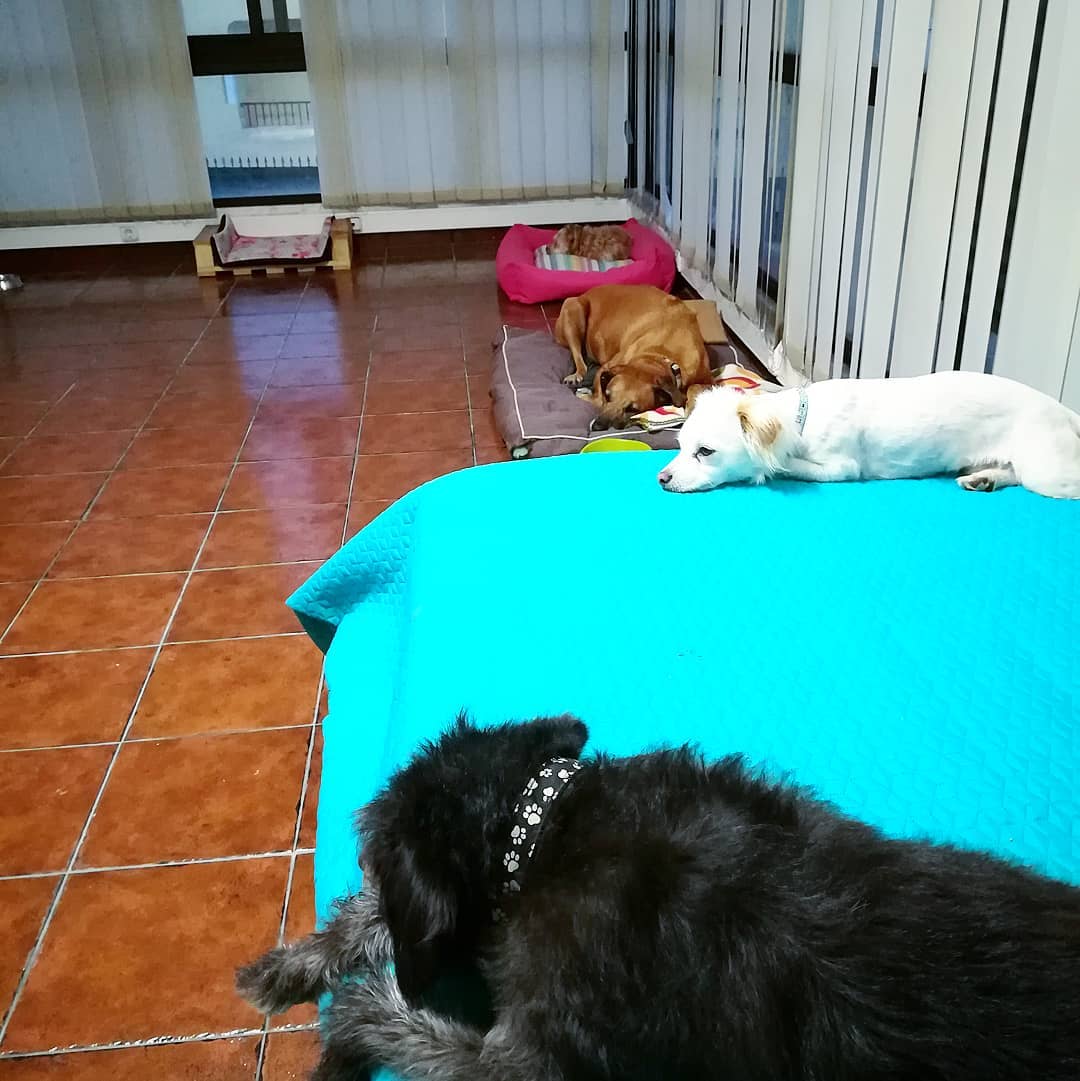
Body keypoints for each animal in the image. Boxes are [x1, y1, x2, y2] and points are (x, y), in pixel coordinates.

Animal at [553, 284, 713, 429]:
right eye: (608, 395)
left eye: (633, 409)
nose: (597, 426)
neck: (661, 355)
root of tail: (585, 293)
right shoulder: (607, 367)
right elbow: (598, 398)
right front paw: (586, 395)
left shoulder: (708, 380)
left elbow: (694, 388)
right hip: (573, 309)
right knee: (580, 360)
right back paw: (576, 375)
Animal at [659, 369, 1080, 497]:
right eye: (680, 446)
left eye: (705, 452)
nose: (661, 478)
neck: (802, 417)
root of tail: (1064, 411)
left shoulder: (840, 467)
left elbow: (787, 466)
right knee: (1010, 472)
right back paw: (984, 479)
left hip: (1046, 471)